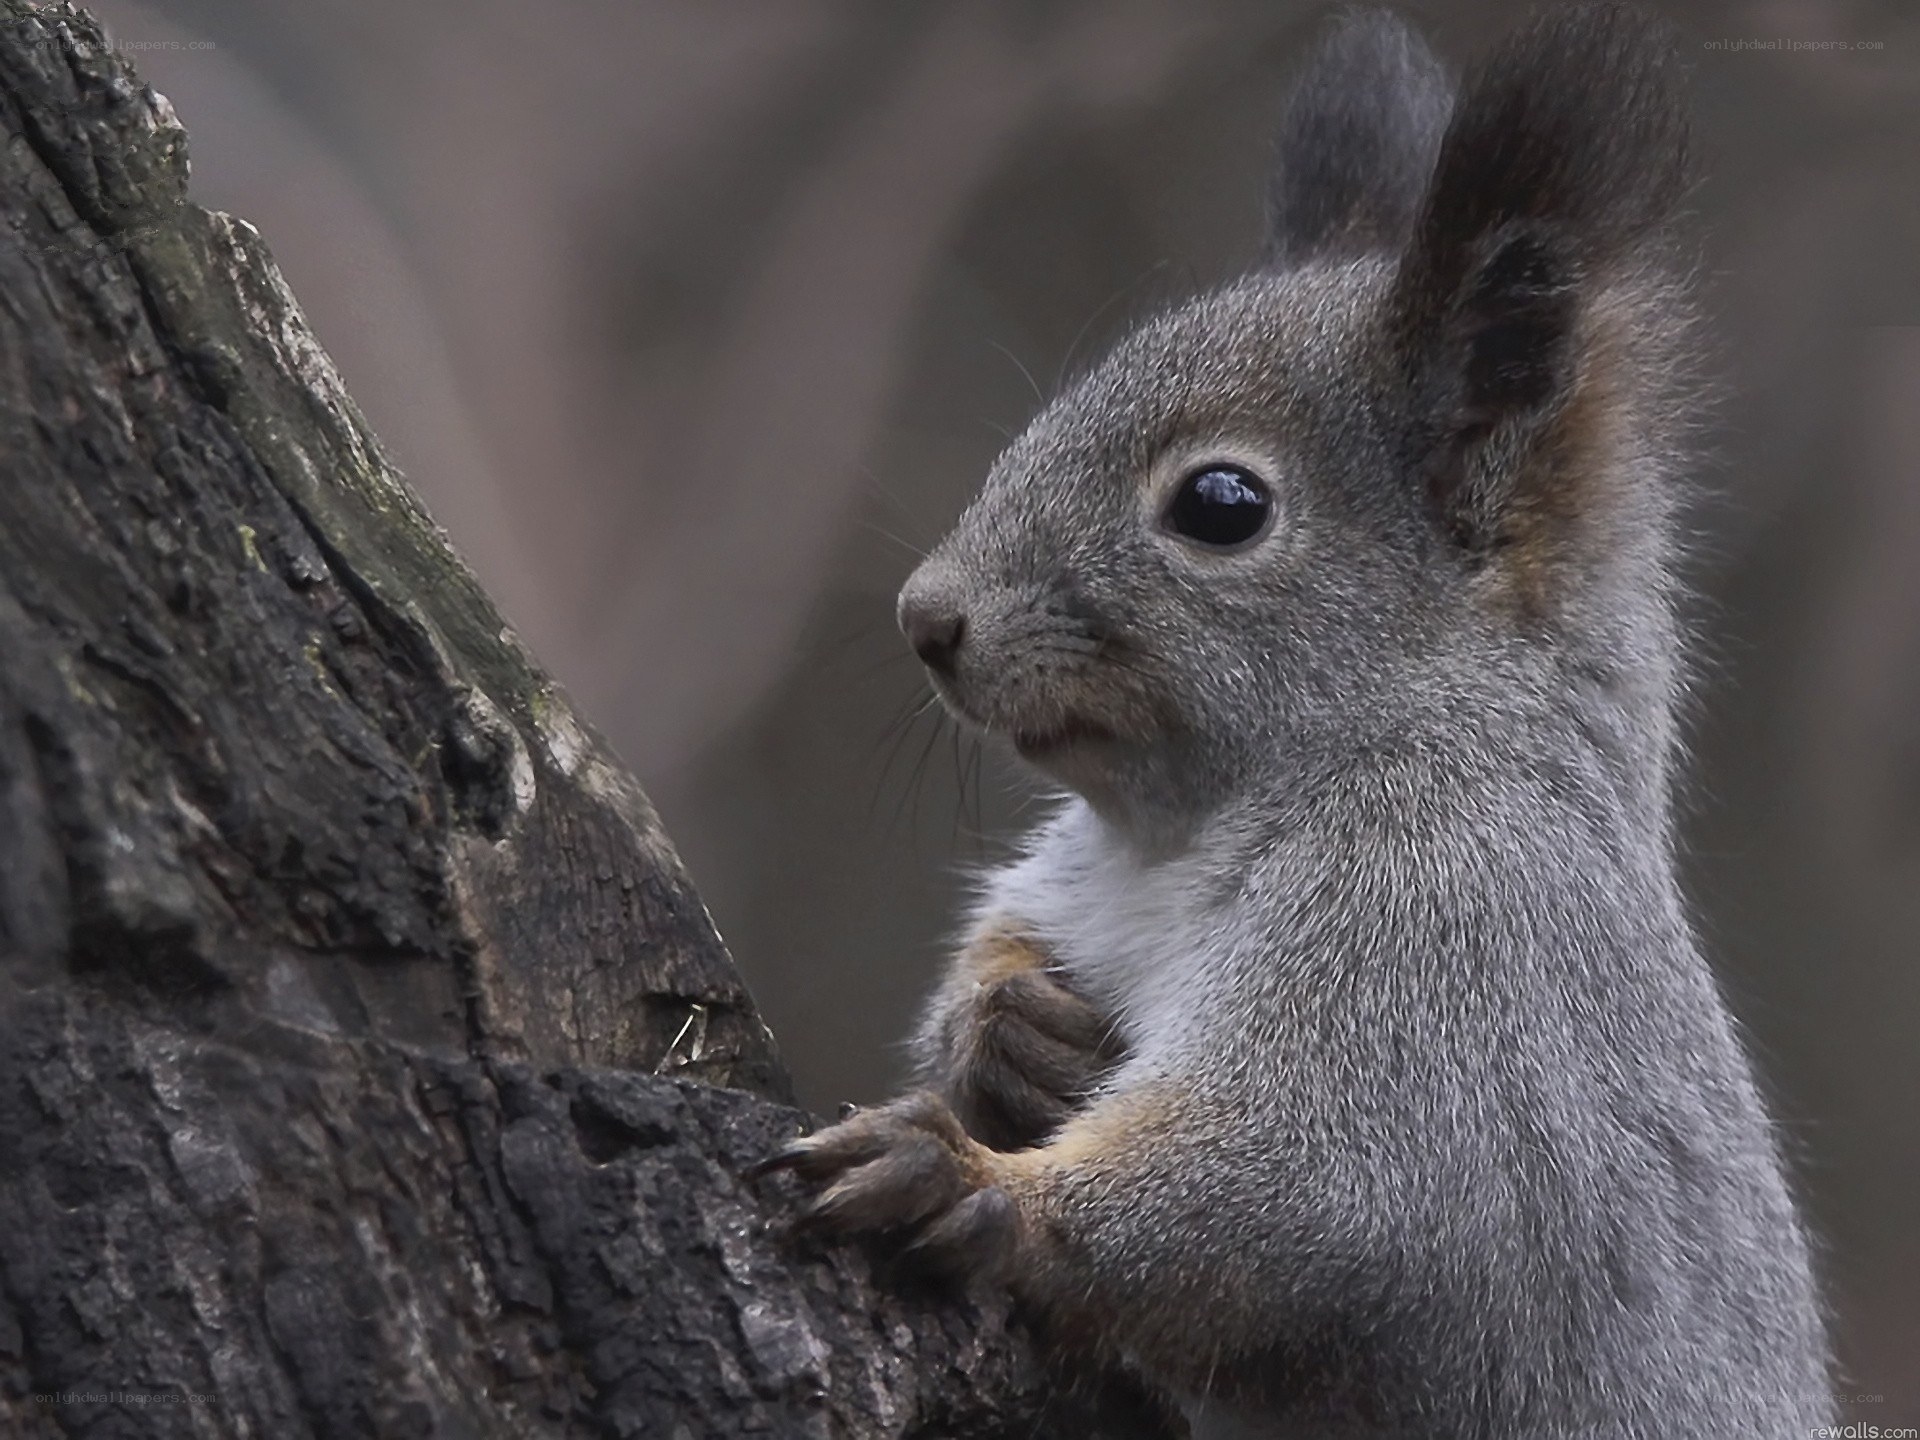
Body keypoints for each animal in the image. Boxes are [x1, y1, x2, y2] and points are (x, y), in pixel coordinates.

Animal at [764, 6, 1832, 1435]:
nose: (927, 618)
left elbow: (1311, 1189)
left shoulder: (1450, 943)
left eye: (1222, 505)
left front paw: (978, 1188)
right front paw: (1009, 1035)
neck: (1168, 836)